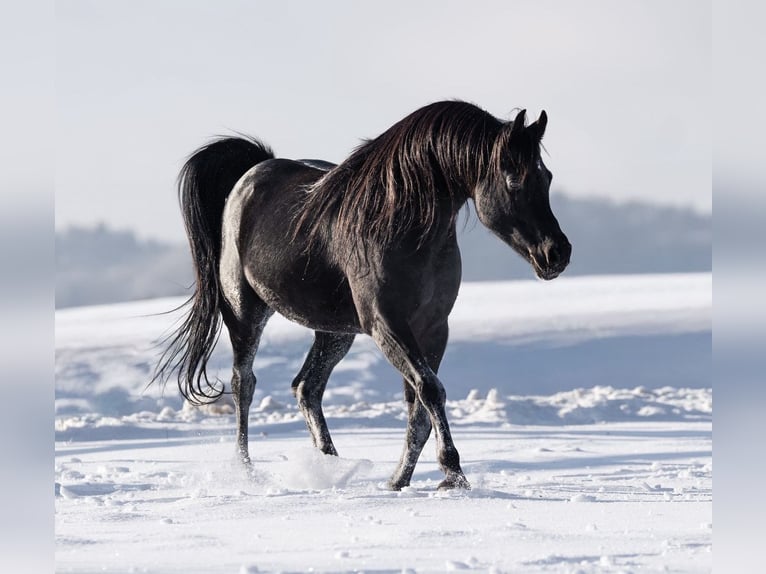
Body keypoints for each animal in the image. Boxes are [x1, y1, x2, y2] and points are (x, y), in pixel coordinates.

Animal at [154, 100, 571, 490]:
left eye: (547, 176)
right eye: (513, 179)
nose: (557, 253)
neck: (399, 222)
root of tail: (253, 173)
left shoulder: (433, 327)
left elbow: (418, 403)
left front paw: (400, 480)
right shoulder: (386, 324)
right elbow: (429, 390)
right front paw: (452, 473)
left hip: (334, 331)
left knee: (307, 388)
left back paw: (330, 467)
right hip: (245, 313)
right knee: (245, 383)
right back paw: (247, 471)